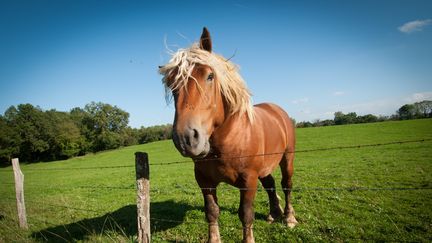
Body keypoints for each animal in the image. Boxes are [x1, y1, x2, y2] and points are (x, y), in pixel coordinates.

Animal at [159, 27, 296, 242]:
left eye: (209, 76)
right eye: (172, 84)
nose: (186, 139)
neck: (227, 141)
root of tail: (277, 110)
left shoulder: (248, 180)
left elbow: (246, 214)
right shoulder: (204, 181)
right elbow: (212, 212)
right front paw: (214, 239)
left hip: (287, 158)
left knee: (286, 184)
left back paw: (289, 218)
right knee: (270, 184)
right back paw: (274, 213)